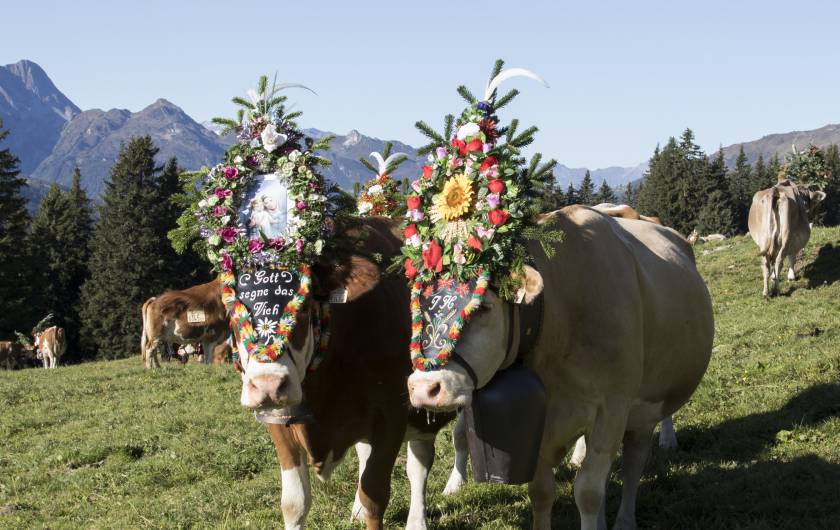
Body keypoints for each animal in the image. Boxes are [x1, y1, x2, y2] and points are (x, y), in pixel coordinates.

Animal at [233, 216, 456, 528]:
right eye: (231, 310)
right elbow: (294, 502)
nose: (268, 385)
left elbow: (374, 494)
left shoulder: (392, 415)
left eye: (304, 307)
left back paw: (451, 489)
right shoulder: (277, 420)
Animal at [398, 59, 712, 524]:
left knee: (635, 461)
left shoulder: (612, 409)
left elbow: (589, 492)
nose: (424, 389)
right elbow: (541, 491)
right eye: (418, 304)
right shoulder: (542, 424)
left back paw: (625, 517)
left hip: (644, 406)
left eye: (484, 306)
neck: (561, 321)